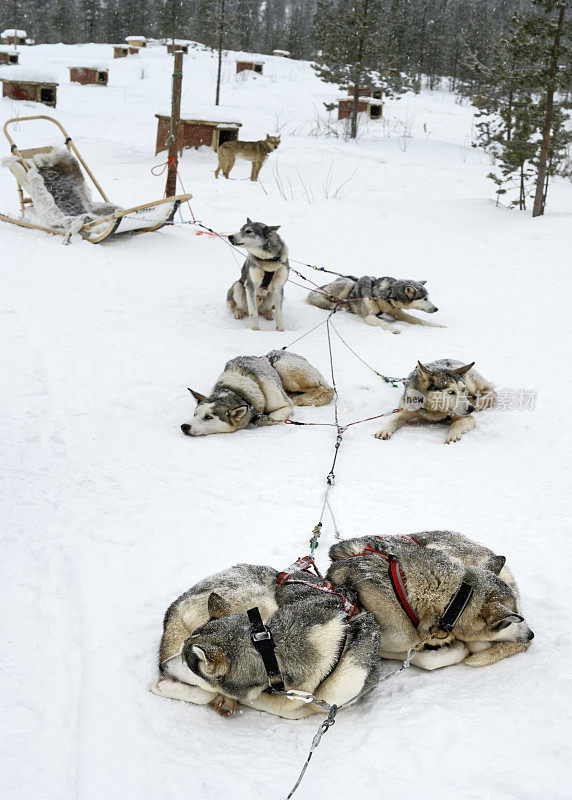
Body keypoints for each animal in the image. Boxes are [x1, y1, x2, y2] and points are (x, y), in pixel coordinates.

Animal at [182, 350, 336, 438]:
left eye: (208, 417)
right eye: (194, 414)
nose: (184, 426)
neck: (238, 390)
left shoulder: (285, 405)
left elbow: (274, 416)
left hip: (283, 367)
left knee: (327, 389)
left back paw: (301, 397)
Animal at [306, 276, 440, 332]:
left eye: (428, 298)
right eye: (424, 299)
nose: (436, 309)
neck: (387, 294)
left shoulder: (397, 312)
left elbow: (417, 320)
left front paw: (437, 325)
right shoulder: (369, 316)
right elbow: (382, 322)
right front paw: (393, 328)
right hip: (349, 284)